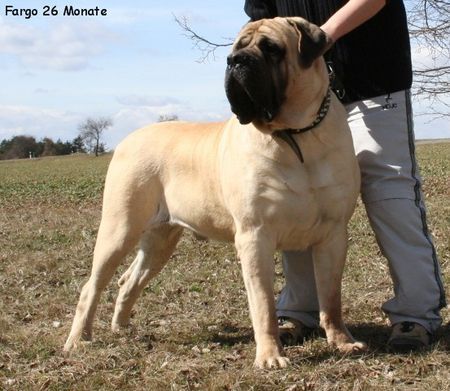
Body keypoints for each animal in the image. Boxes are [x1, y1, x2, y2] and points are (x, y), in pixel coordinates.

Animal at [63, 16, 366, 370]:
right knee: (91, 286)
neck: (296, 135)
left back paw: (122, 329)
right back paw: (77, 340)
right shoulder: (254, 236)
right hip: (119, 229)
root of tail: (129, 138)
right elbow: (263, 304)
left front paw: (342, 341)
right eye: (234, 50)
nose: (235, 61)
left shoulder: (333, 234)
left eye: (271, 48)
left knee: (129, 280)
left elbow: (331, 297)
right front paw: (270, 356)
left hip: (160, 241)